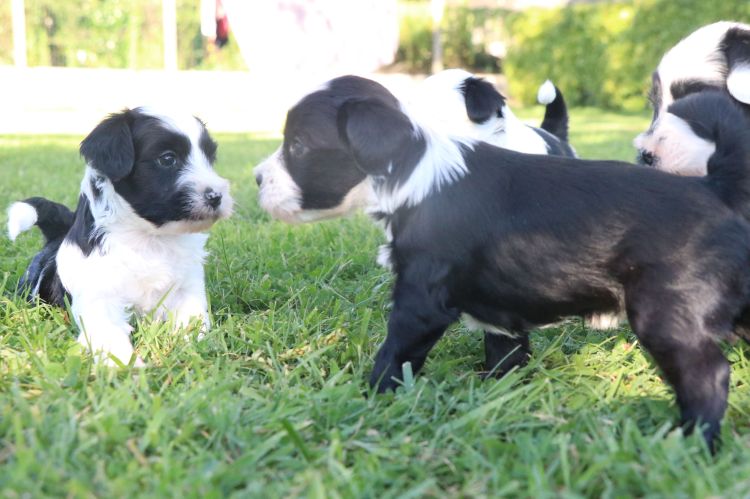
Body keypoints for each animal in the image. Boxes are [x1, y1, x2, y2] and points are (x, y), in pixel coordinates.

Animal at [7, 107, 233, 366]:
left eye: (210, 158)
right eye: (167, 159)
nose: (216, 196)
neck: (149, 238)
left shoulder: (188, 286)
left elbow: (193, 321)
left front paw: (196, 349)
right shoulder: (98, 297)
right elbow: (110, 334)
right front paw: (126, 365)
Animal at [257, 75, 750, 452]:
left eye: (298, 145)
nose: (257, 178)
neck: (415, 172)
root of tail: (714, 188)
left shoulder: (420, 300)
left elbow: (394, 354)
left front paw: (369, 396)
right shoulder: (498, 307)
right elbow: (503, 351)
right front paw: (496, 392)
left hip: (666, 313)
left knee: (708, 375)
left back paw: (691, 443)